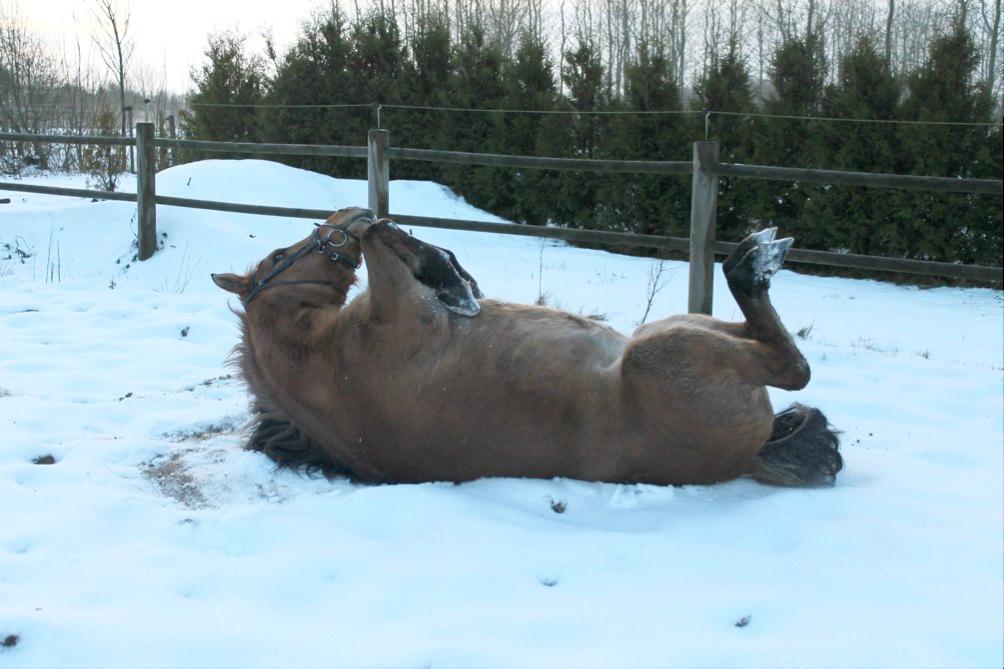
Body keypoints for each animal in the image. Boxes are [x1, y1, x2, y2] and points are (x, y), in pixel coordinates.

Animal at [209, 205, 839, 488]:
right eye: (277, 258)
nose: (340, 216)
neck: (327, 369)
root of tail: (748, 457)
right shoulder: (401, 308)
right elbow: (381, 241)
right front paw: (448, 278)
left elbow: (386, 238)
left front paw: (450, 273)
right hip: (668, 349)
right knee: (793, 368)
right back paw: (753, 260)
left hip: (675, 328)